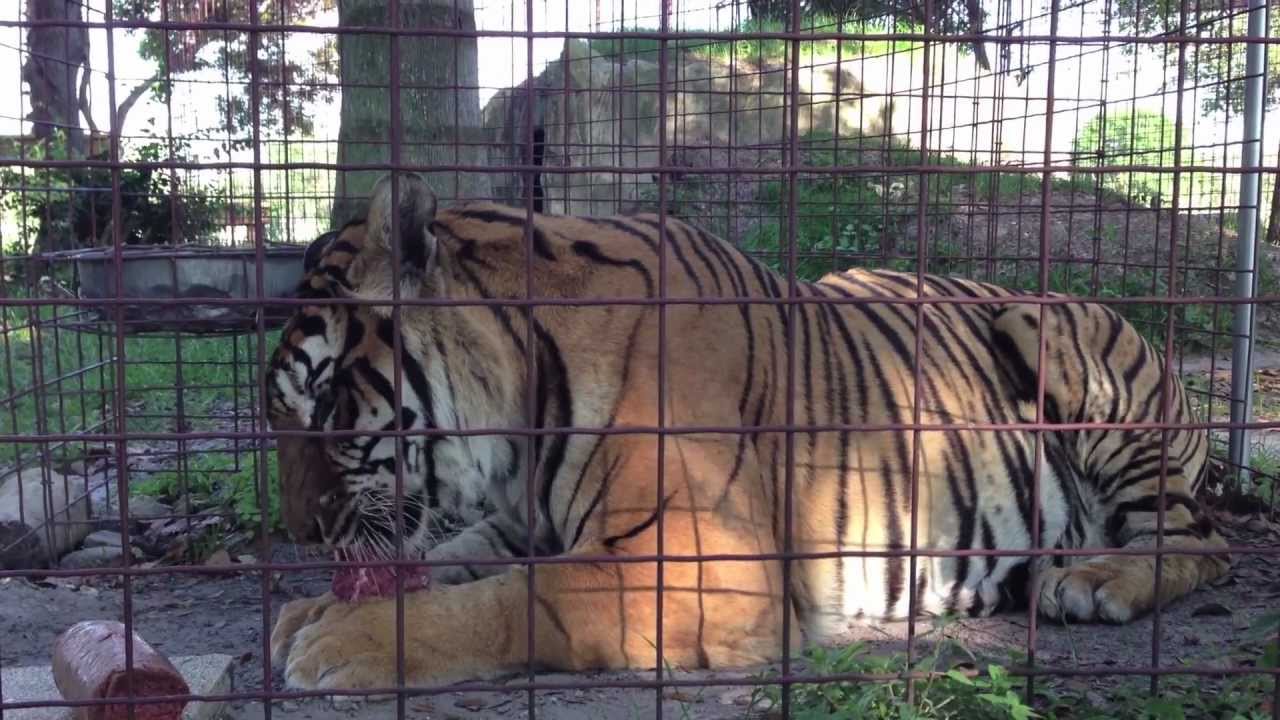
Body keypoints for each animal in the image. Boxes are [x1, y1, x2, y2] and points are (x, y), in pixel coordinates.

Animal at [266, 172, 1229, 691]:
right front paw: (318, 607)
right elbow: (454, 560)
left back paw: (1094, 582)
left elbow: (515, 598)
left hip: (1054, 338)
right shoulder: (521, 521)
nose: (302, 532)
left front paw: (343, 640)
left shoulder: (707, 560)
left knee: (1200, 541)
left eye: (324, 404)